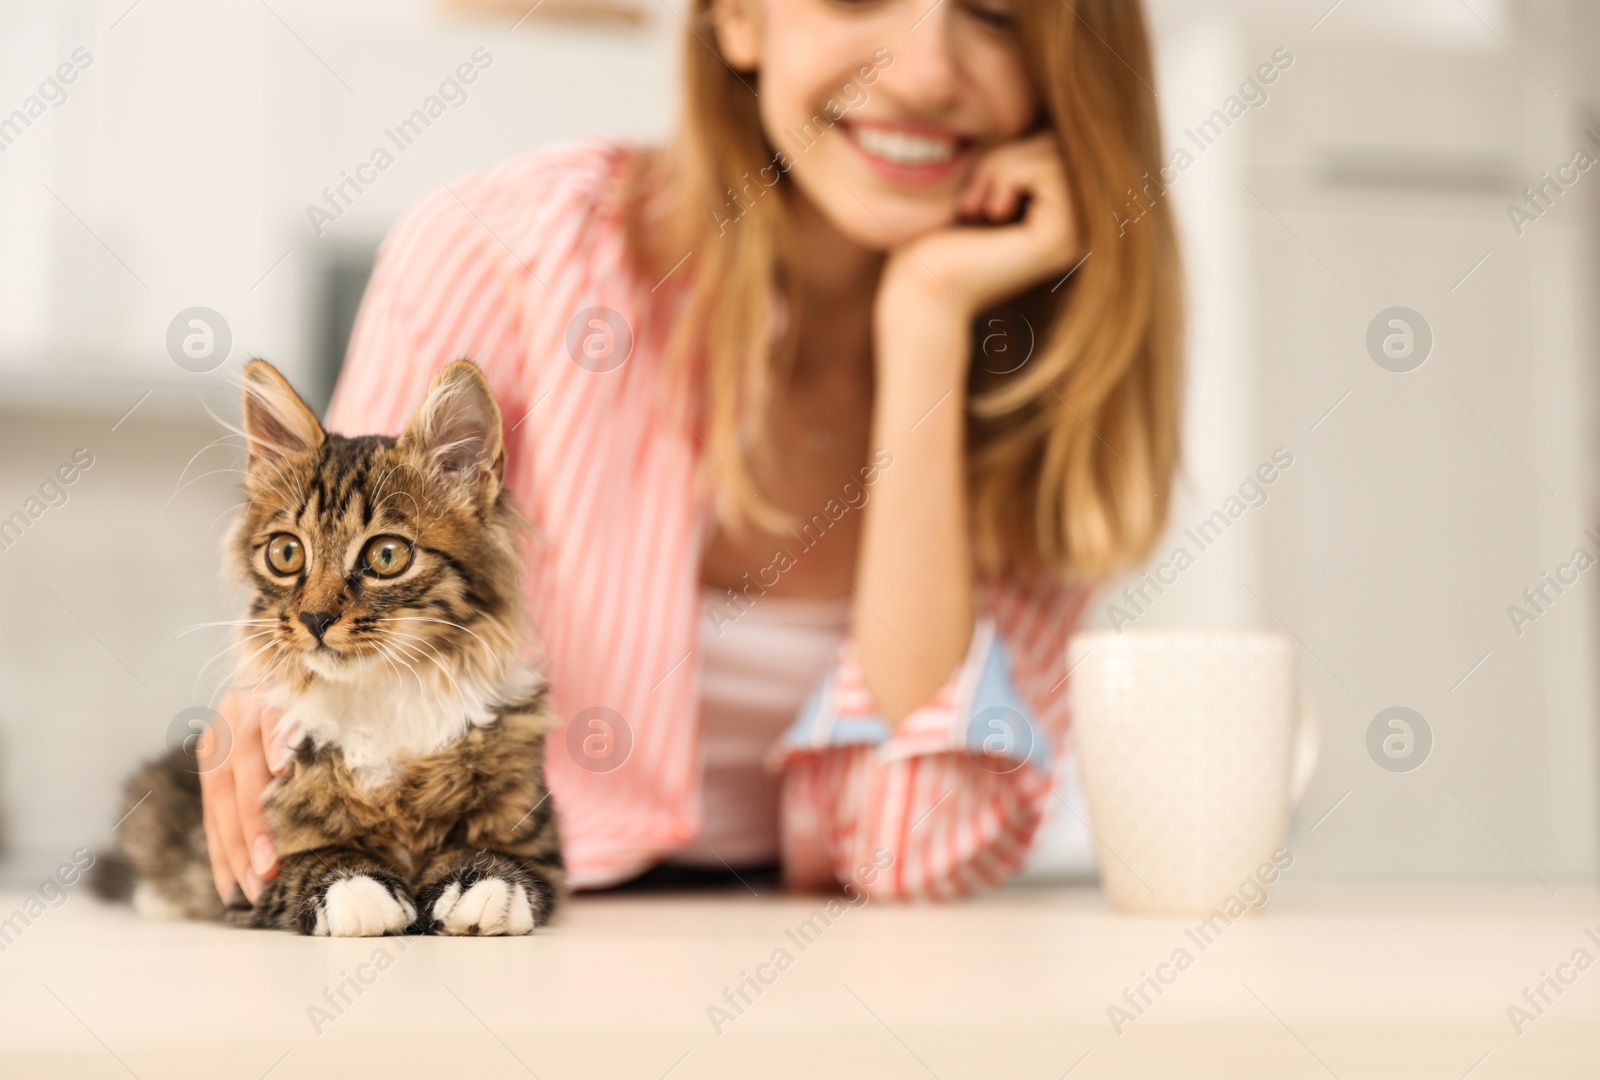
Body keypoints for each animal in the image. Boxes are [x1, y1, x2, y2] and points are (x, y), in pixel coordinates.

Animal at [96, 361, 563, 940]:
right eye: (285, 553)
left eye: (386, 555)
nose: (314, 619)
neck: (383, 695)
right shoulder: (250, 864)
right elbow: (313, 858)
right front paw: (359, 889)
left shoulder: (537, 836)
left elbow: (497, 854)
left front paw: (481, 884)